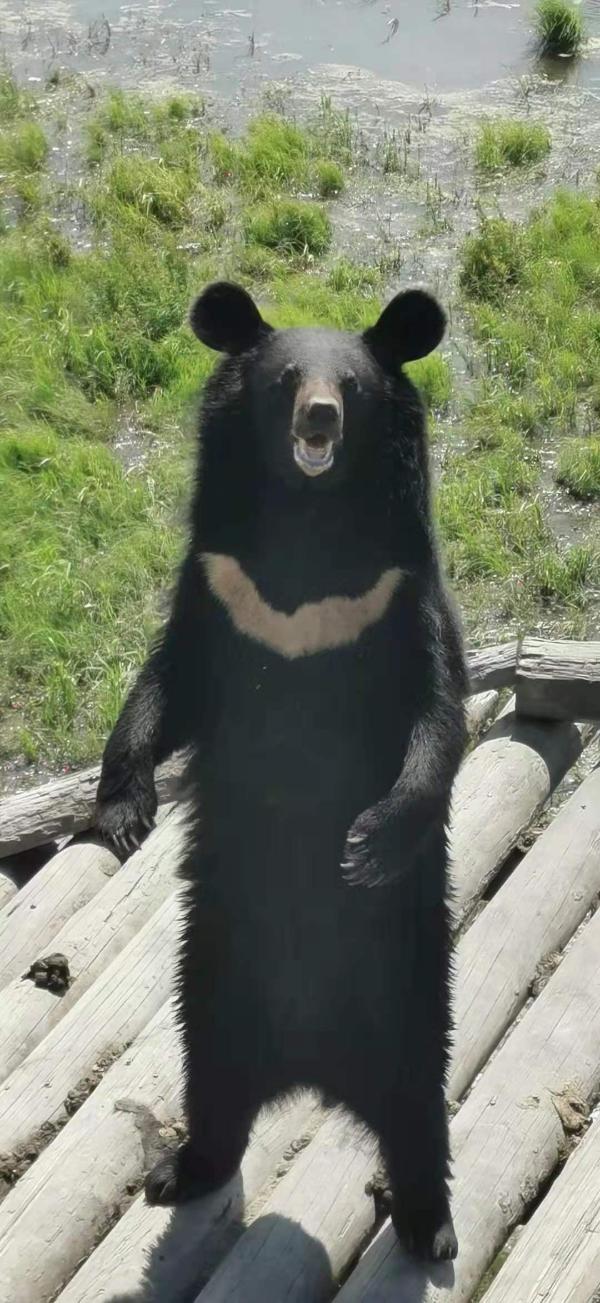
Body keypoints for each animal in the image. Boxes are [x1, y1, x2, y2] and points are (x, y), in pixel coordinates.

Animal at [95, 282, 469, 1261]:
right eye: (284, 380)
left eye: (355, 386)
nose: (320, 418)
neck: (309, 528)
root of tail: (310, 1067)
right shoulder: (221, 586)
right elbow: (167, 683)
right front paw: (123, 808)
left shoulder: (399, 589)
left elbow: (436, 714)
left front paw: (368, 843)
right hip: (212, 977)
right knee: (213, 1083)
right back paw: (182, 1168)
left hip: (408, 989)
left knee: (419, 1104)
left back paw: (431, 1224)